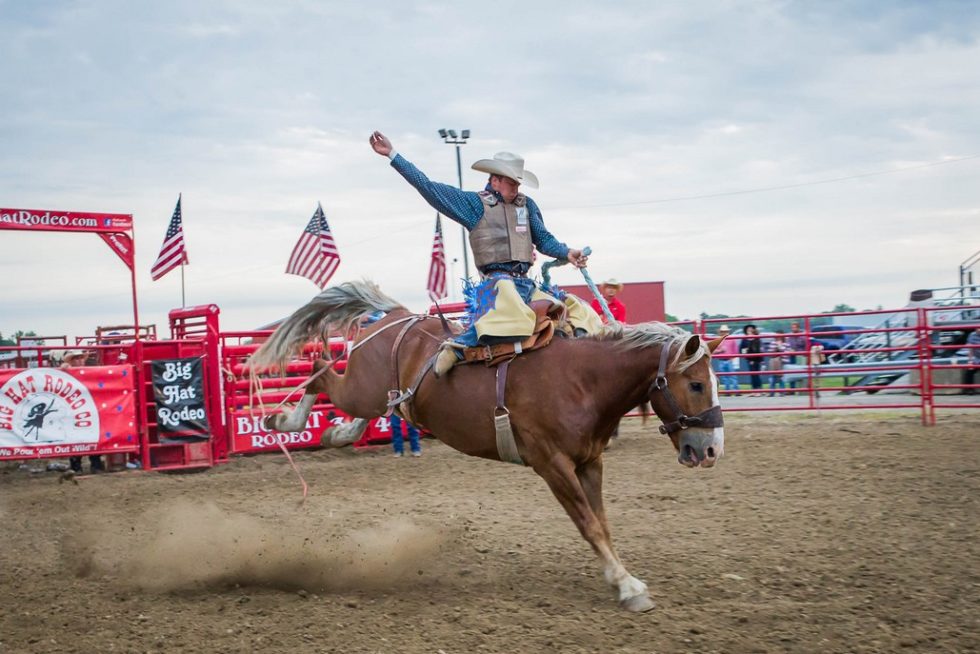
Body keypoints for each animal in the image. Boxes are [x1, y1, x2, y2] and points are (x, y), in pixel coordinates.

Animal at [251, 282, 728, 616]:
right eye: (696, 384)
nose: (710, 451)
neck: (583, 380)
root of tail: (395, 316)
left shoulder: (590, 462)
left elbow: (602, 524)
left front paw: (623, 579)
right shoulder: (553, 466)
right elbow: (589, 525)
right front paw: (627, 587)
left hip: (381, 397)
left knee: (369, 402)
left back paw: (337, 433)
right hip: (359, 388)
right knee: (320, 370)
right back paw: (283, 421)